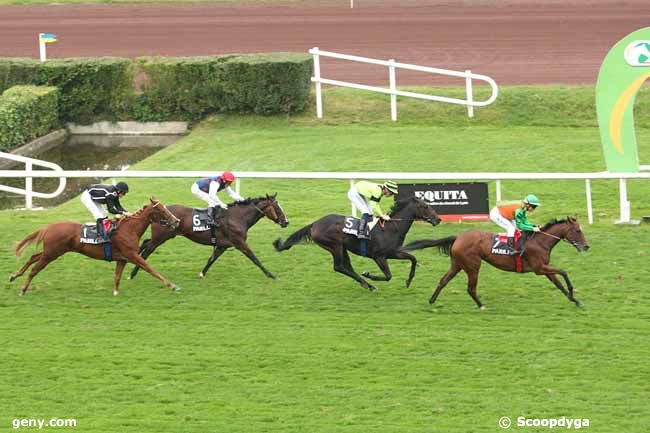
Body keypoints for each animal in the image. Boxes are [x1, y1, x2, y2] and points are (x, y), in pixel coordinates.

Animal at [10, 197, 181, 296]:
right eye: (161, 209)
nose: (176, 221)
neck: (129, 229)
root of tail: (49, 227)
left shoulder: (123, 258)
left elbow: (117, 276)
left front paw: (115, 292)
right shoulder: (132, 255)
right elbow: (151, 269)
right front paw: (172, 285)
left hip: (52, 251)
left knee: (33, 257)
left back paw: (14, 275)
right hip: (52, 253)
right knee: (35, 269)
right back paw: (23, 289)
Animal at [129, 193, 286, 280]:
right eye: (277, 208)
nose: (286, 222)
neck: (237, 217)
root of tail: (157, 213)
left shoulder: (223, 245)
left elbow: (211, 259)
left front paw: (201, 274)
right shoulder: (240, 242)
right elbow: (255, 258)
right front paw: (271, 275)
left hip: (161, 237)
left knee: (144, 243)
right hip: (160, 238)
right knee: (147, 251)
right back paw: (132, 274)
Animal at [270, 197, 438, 290]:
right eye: (425, 206)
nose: (437, 219)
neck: (392, 227)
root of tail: (314, 224)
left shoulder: (392, 252)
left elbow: (413, 258)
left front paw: (408, 281)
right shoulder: (378, 256)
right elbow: (388, 275)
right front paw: (370, 274)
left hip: (342, 247)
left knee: (346, 267)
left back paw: (366, 284)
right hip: (334, 245)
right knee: (339, 267)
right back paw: (368, 283)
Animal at [400, 216, 588, 308]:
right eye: (578, 231)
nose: (586, 246)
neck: (540, 241)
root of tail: (458, 237)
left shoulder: (544, 269)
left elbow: (559, 283)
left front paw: (575, 300)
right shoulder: (539, 268)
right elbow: (564, 272)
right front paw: (573, 293)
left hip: (457, 264)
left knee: (443, 280)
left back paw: (432, 300)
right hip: (473, 265)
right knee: (470, 288)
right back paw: (482, 305)